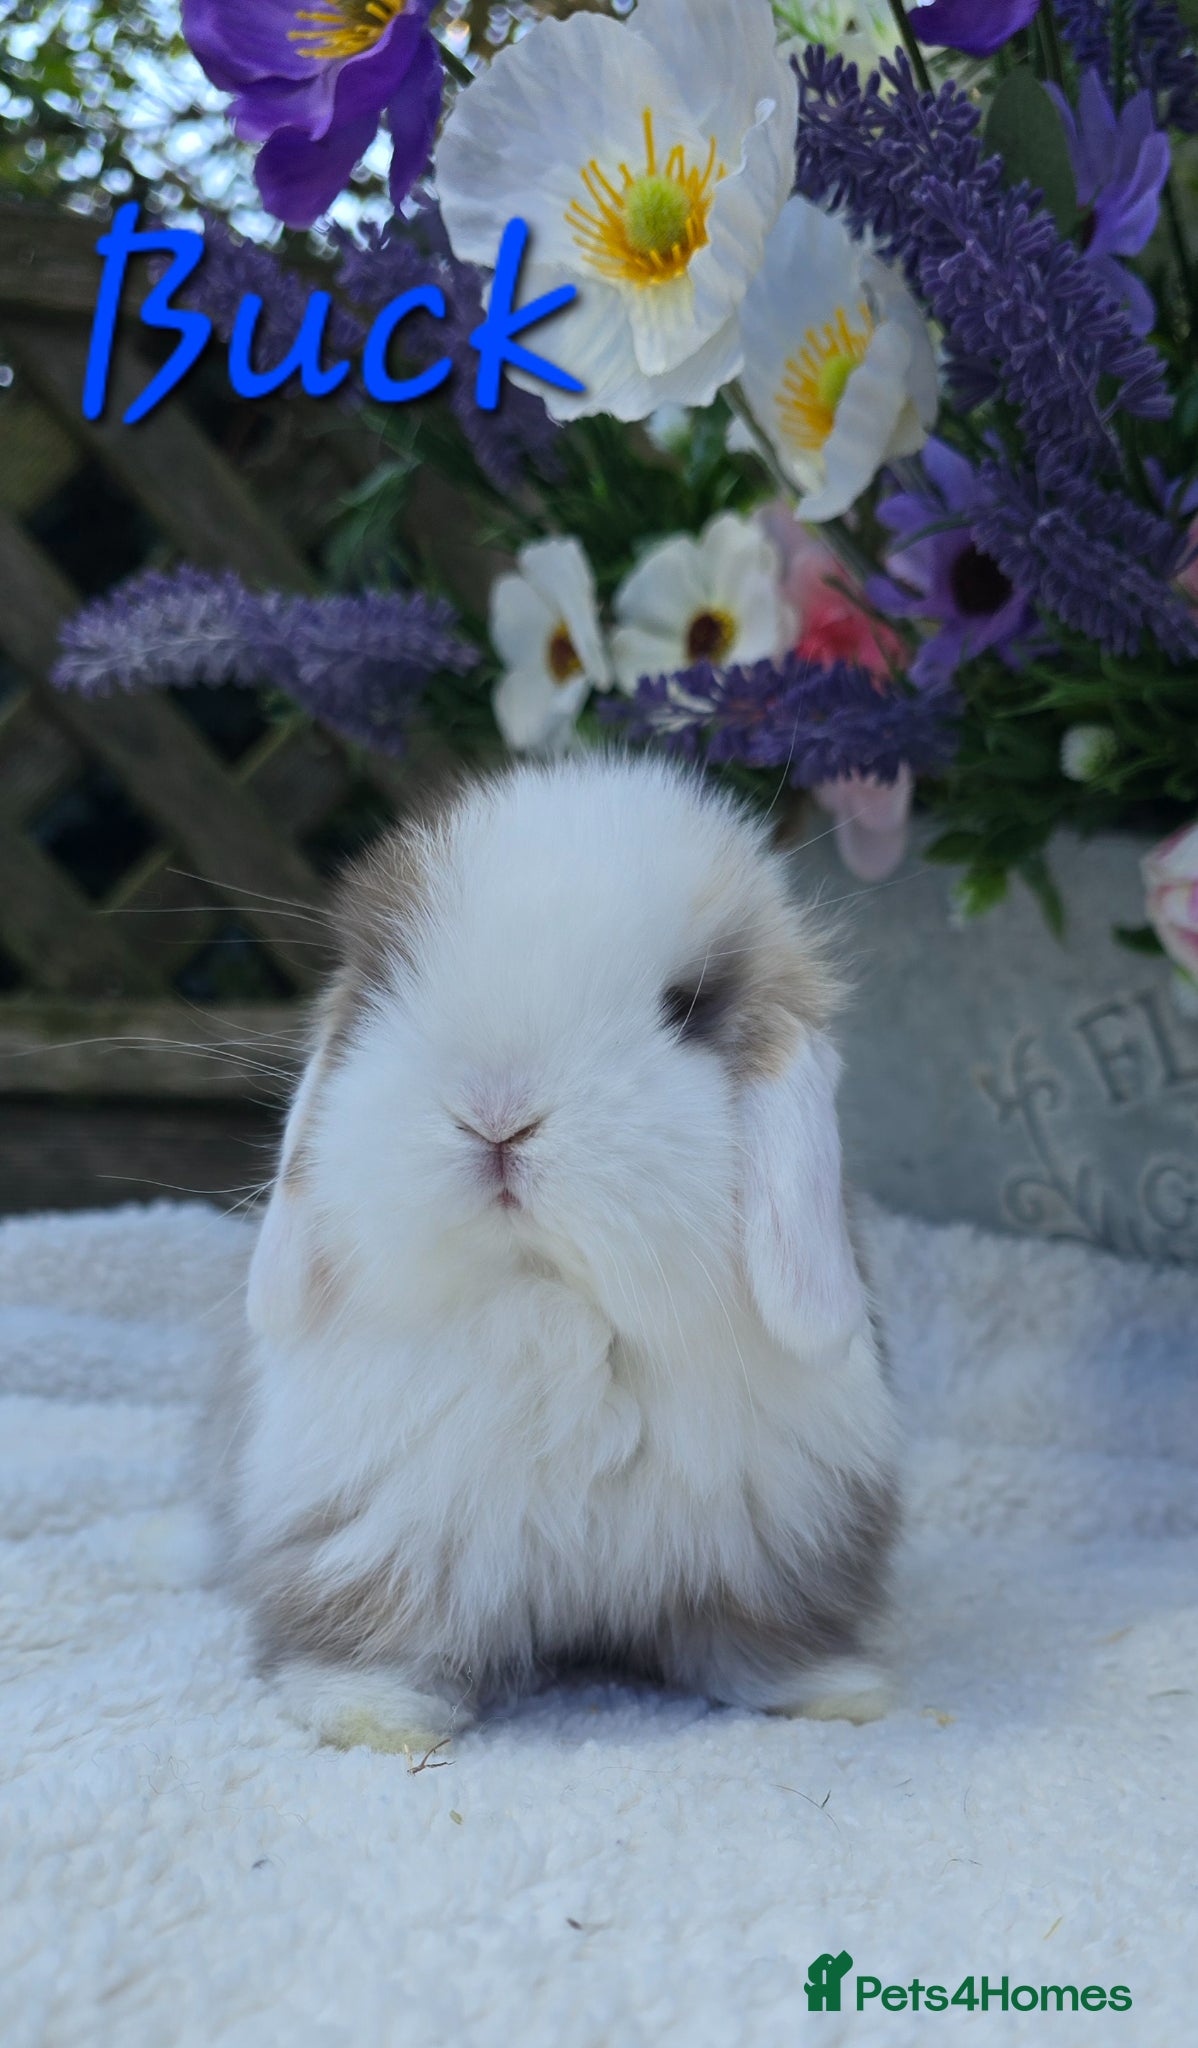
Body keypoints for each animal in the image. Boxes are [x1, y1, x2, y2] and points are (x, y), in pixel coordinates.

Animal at [203, 752, 900, 1754]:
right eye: (389, 987)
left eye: (685, 1008)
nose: (497, 1114)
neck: (558, 1310)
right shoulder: (373, 1536)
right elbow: (382, 1639)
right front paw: (373, 1721)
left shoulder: (782, 1536)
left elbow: (758, 1643)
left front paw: (837, 1696)